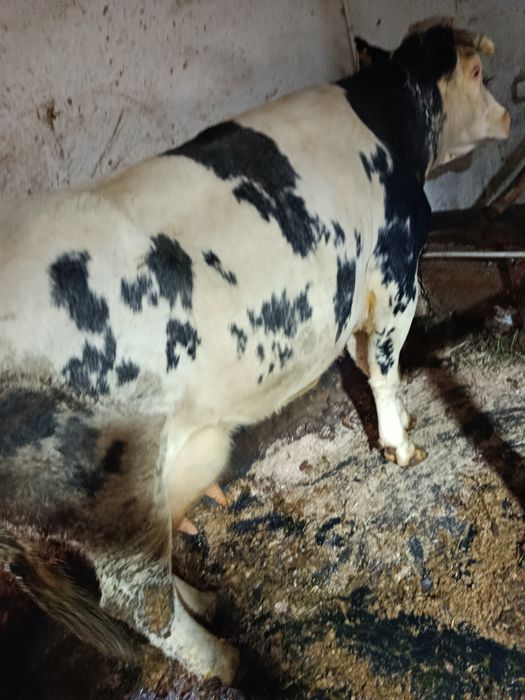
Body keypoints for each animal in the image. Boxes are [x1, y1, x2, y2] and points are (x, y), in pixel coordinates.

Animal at [0, 22, 510, 685]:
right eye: (476, 72)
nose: (507, 116)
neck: (389, 125)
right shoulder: (396, 267)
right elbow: (385, 364)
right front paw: (400, 444)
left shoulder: (354, 287)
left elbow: (363, 355)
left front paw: (402, 419)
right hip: (114, 497)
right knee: (138, 600)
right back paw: (222, 657)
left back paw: (207, 600)